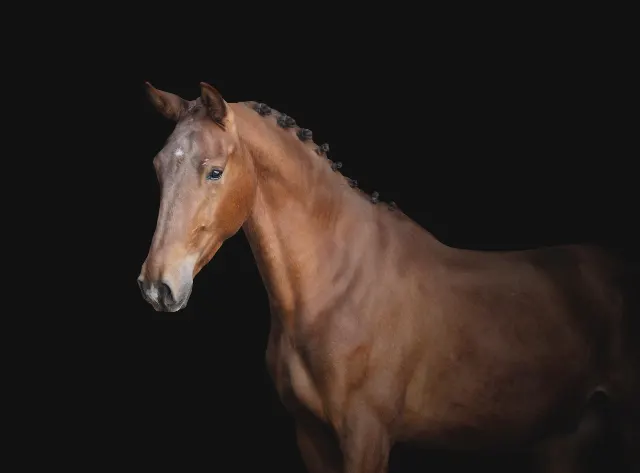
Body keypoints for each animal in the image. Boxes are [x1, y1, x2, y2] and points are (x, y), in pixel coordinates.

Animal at [137, 82, 639, 473]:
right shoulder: (310, 436)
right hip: (565, 437)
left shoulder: (367, 438)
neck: (335, 291)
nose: (157, 285)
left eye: (214, 171)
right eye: (159, 167)